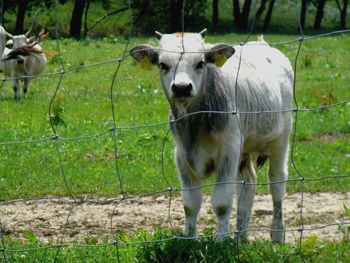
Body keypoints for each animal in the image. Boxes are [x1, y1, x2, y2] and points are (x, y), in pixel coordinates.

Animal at [129, 28, 292, 243]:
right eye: (163, 65)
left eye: (200, 63)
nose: (182, 87)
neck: (194, 124)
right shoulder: (181, 155)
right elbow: (190, 204)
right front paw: (190, 239)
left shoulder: (228, 152)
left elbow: (221, 202)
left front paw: (221, 242)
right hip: (244, 150)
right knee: (247, 183)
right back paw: (241, 237)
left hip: (281, 140)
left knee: (276, 183)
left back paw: (277, 234)